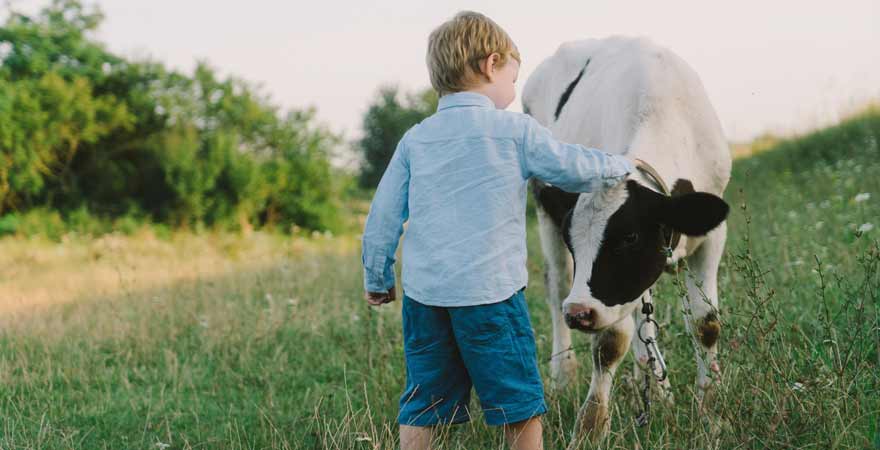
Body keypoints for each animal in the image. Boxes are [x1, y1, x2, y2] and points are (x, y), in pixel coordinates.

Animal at [520, 37, 732, 444]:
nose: (579, 313)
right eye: (574, 240)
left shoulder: (711, 235)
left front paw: (710, 413)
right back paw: (563, 374)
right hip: (541, 206)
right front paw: (589, 428)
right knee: (557, 287)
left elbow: (705, 323)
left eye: (630, 236)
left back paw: (656, 391)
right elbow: (610, 341)